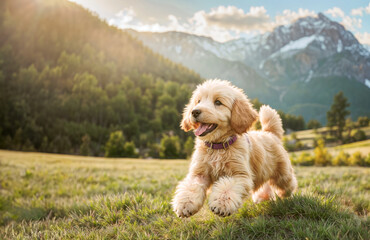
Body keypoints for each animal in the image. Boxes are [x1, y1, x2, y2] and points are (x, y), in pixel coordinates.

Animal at [172, 79, 296, 218]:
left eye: (218, 102)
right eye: (198, 101)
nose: (194, 111)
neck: (218, 146)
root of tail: (270, 133)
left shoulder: (240, 175)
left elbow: (227, 188)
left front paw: (221, 204)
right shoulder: (199, 173)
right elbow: (191, 187)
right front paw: (185, 204)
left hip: (282, 174)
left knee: (288, 184)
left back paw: (285, 194)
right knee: (264, 184)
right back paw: (262, 197)